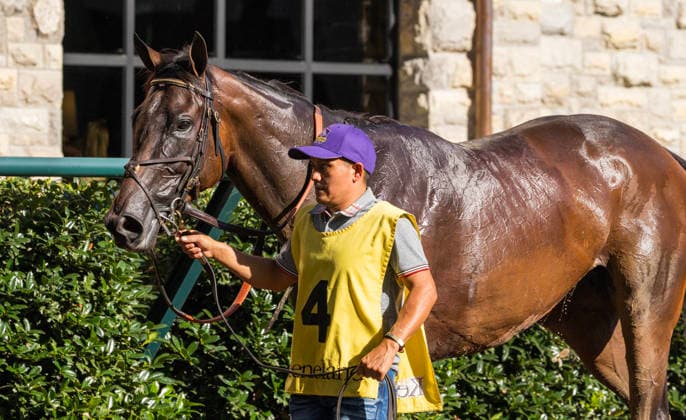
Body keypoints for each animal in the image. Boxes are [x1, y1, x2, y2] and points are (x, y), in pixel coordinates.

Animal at [105, 33, 686, 419]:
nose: (125, 222)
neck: (357, 178)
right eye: (135, 117)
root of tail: (664, 157)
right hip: (589, 321)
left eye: (183, 123)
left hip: (646, 311)